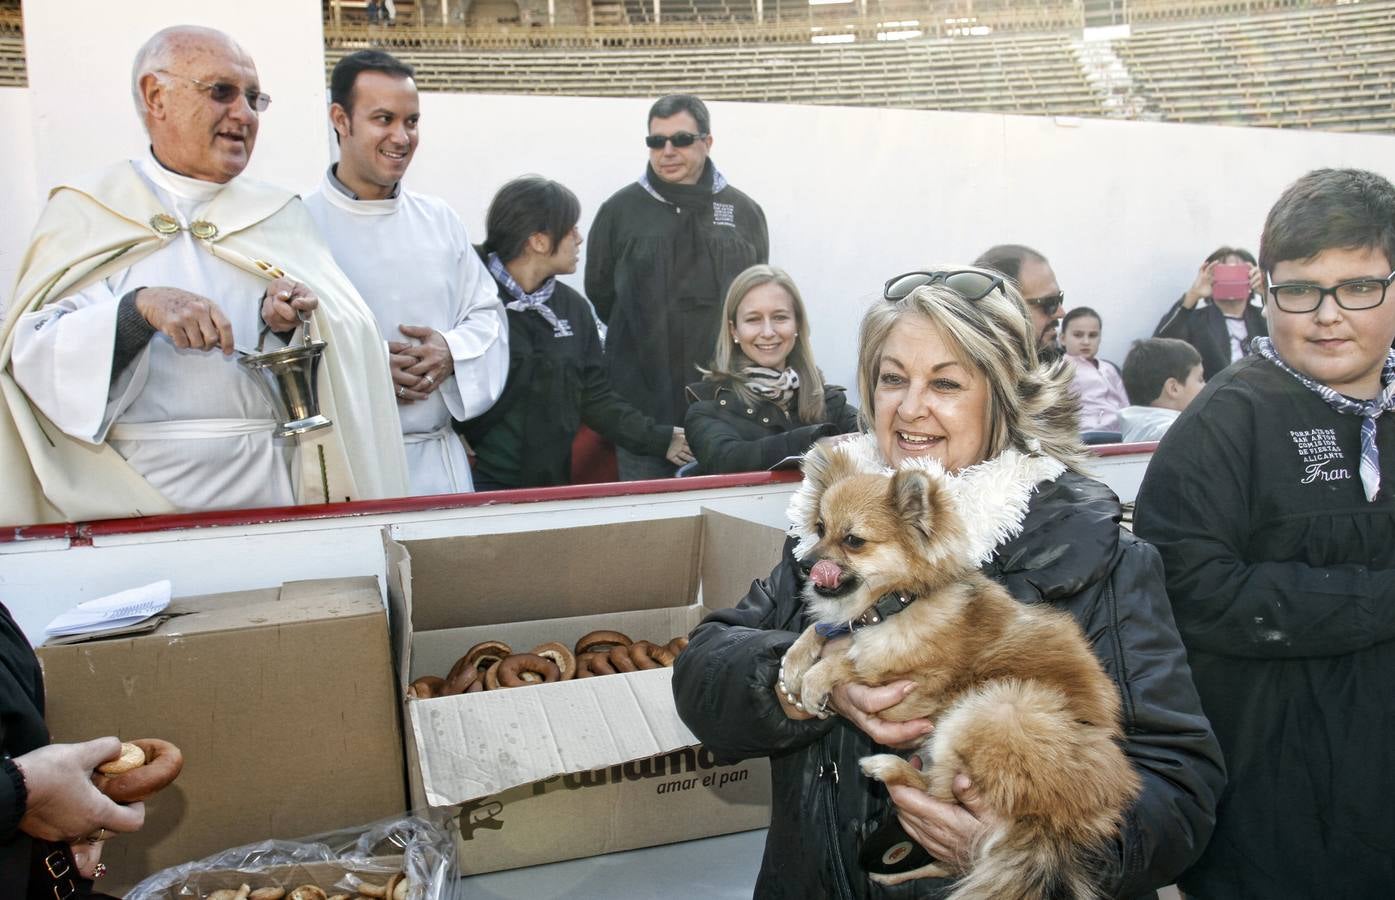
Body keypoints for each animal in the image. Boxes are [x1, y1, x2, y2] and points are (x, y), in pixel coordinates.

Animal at [781, 443, 1138, 898]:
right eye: (819, 527)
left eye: (853, 540)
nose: (805, 565)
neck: (893, 604)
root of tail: (1055, 820)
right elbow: (815, 631)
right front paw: (793, 666)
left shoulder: (915, 682)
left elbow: (851, 661)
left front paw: (815, 679)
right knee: (957, 860)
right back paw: (894, 873)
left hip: (990, 708)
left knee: (937, 795)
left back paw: (886, 768)